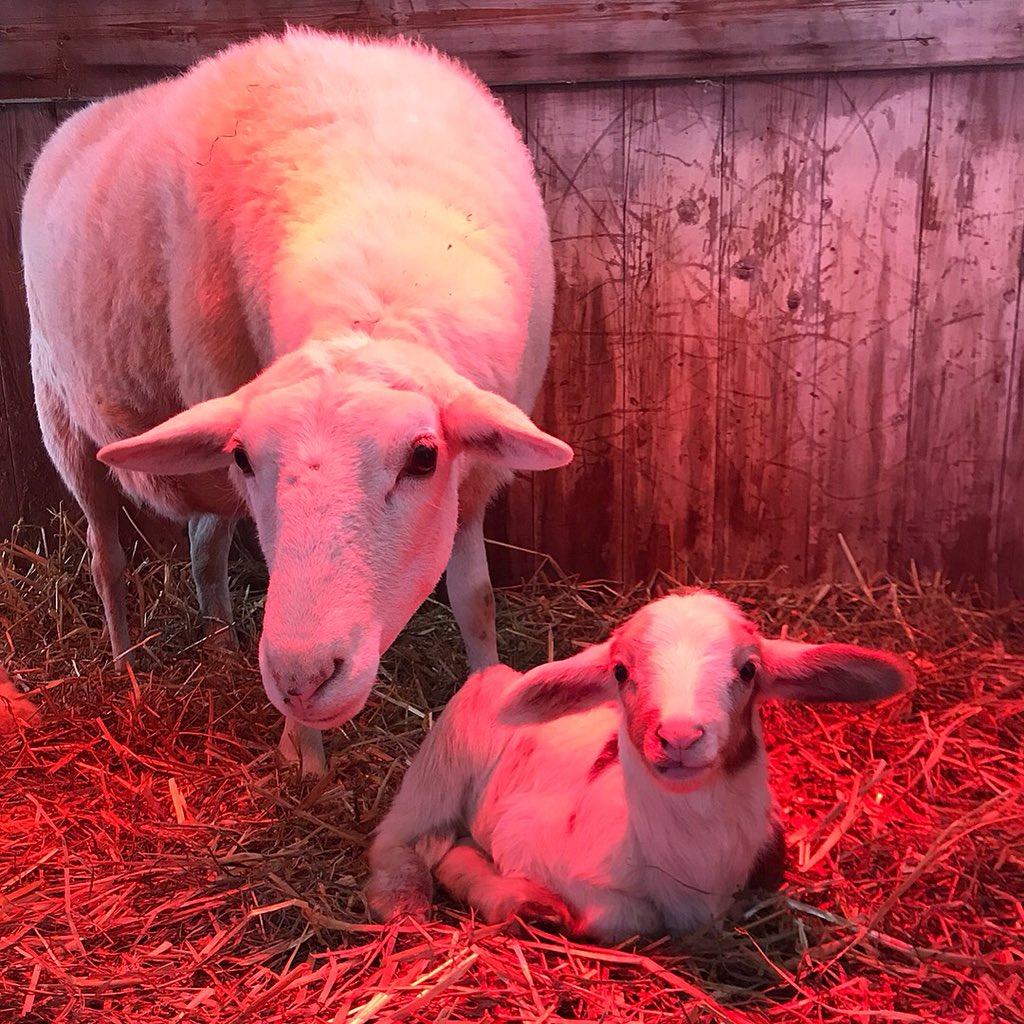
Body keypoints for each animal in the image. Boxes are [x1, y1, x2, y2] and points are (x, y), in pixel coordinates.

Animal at [21, 29, 572, 773]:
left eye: (423, 458)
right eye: (246, 457)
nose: (302, 679)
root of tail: (85, 114)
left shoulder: (472, 480)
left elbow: (476, 601)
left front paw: (487, 697)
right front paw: (304, 757)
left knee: (203, 550)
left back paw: (220, 649)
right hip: (62, 414)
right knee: (105, 556)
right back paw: (126, 668)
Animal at [365, 590, 914, 942]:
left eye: (748, 670)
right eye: (621, 670)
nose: (679, 736)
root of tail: (505, 672)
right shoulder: (532, 840)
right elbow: (626, 919)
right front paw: (537, 903)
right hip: (447, 752)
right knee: (401, 836)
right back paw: (409, 900)